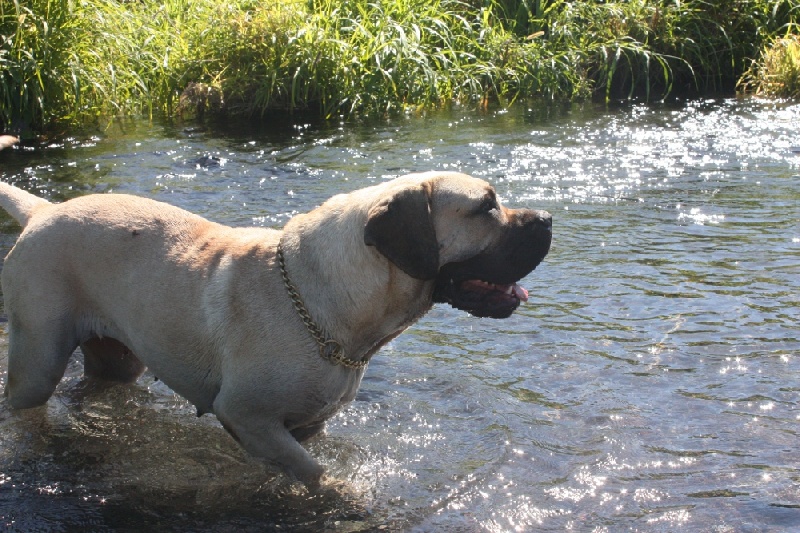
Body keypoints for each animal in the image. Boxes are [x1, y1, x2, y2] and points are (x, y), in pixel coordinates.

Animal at [0, 169, 552, 482]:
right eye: (486, 207)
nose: (547, 218)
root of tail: (46, 210)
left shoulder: (305, 424)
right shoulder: (247, 415)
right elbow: (316, 473)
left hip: (116, 357)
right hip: (39, 357)